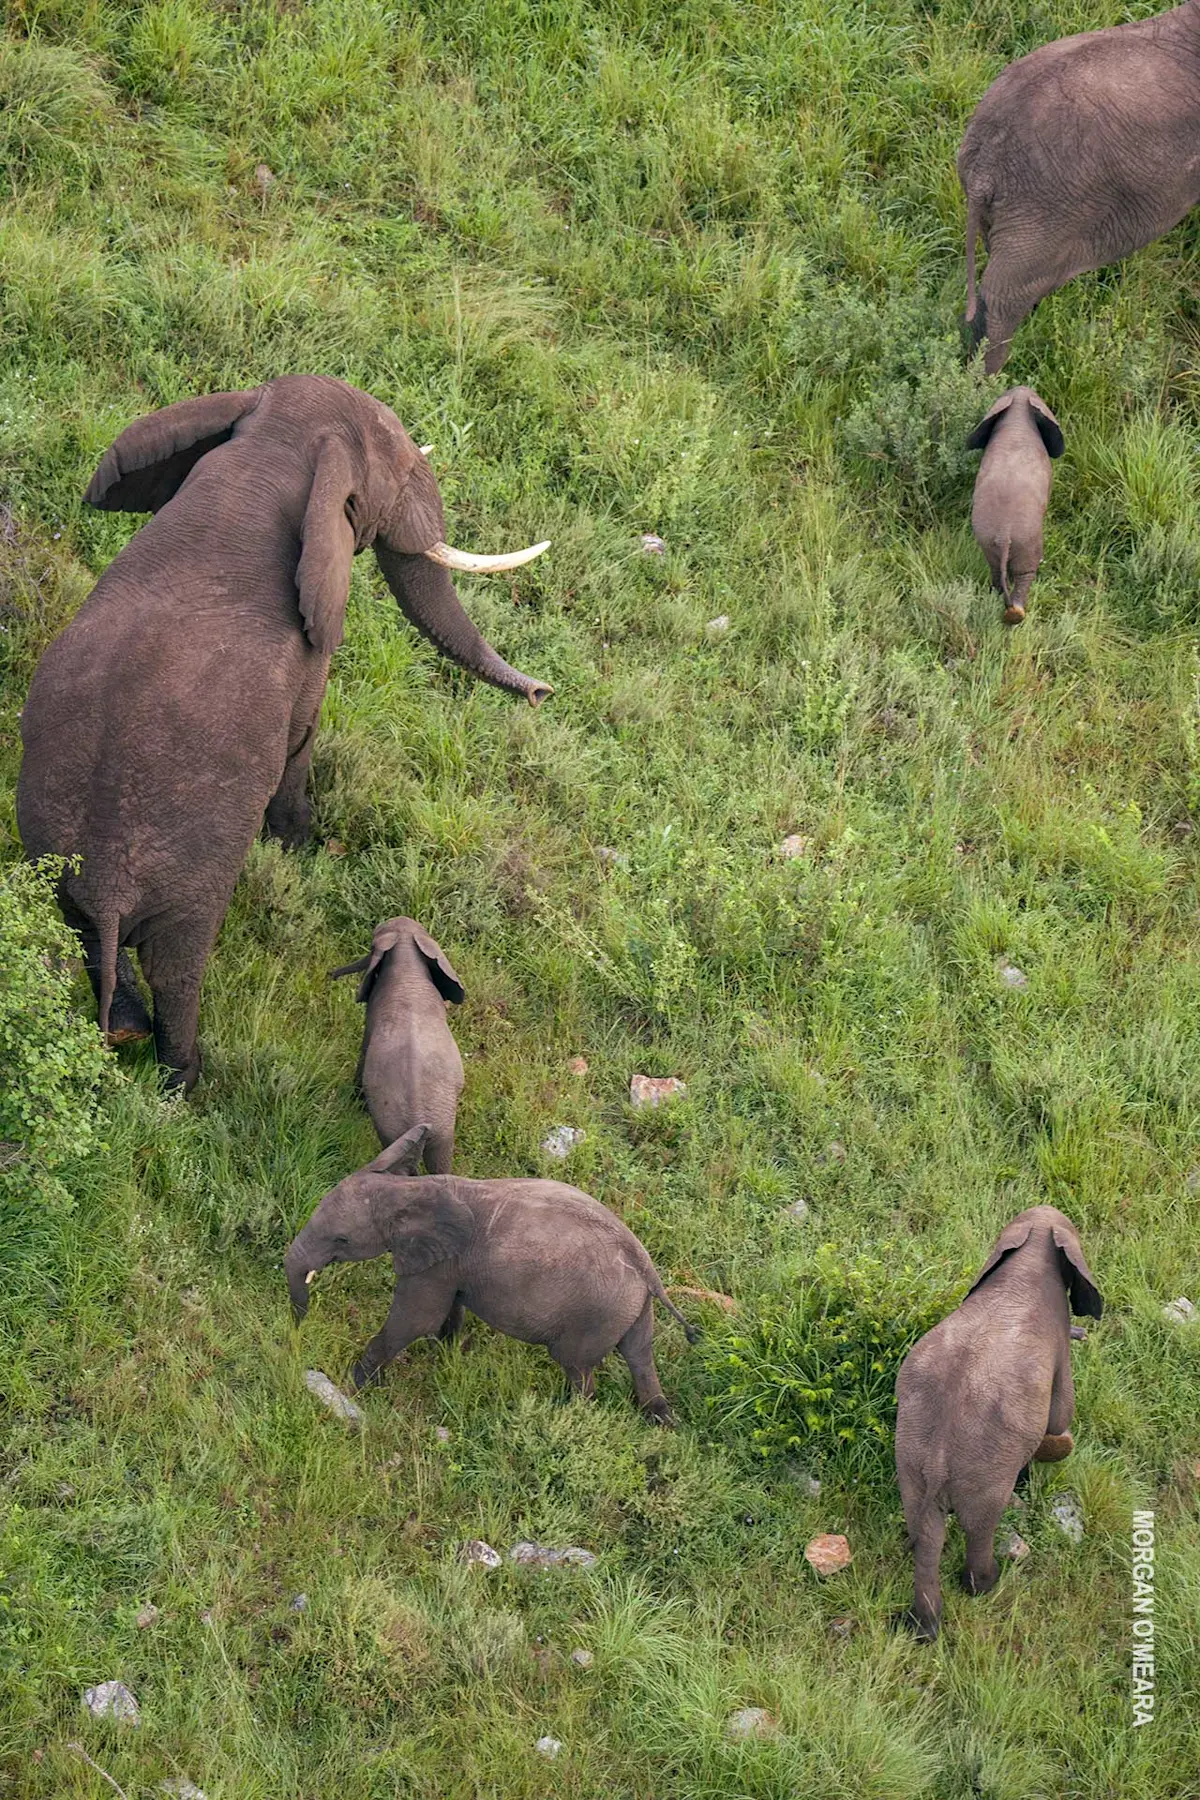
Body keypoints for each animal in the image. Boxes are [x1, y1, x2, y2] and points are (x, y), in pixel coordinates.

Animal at [16, 375, 551, 1090]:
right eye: (400, 472)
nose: (544, 694)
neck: (267, 453)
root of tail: (106, 891)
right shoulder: (309, 648)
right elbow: (302, 732)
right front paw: (301, 845)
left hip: (49, 855)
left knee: (83, 936)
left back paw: (124, 1029)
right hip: (185, 876)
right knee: (178, 967)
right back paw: (185, 1082)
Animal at [285, 1123, 698, 1421]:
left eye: (341, 1239)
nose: (297, 1332)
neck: (408, 1189)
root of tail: (646, 1268)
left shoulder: (435, 1264)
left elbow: (413, 1321)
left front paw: (356, 1385)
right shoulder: (449, 1264)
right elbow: (447, 1311)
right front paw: (446, 1355)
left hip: (595, 1314)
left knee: (577, 1367)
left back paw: (567, 1414)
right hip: (630, 1307)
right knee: (639, 1354)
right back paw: (660, 1419)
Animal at [895, 1205, 1102, 1642]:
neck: (1032, 1251)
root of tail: (937, 1460)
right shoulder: (1058, 1342)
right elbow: (1060, 1415)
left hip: (910, 1460)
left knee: (926, 1533)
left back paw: (924, 1627)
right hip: (984, 1474)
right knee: (979, 1529)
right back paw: (986, 1585)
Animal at [966, 386, 1063, 625]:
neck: (1018, 409)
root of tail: (1004, 534)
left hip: (987, 540)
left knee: (995, 570)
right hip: (1027, 541)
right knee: (1025, 573)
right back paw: (1017, 614)